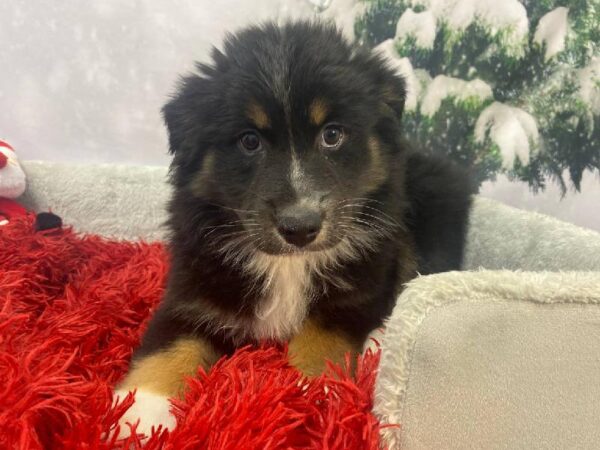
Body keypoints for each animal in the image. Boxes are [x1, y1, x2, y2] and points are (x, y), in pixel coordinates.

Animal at [113, 20, 474, 436]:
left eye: (332, 134)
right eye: (249, 141)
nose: (300, 227)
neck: (287, 264)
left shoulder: (356, 292)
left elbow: (323, 336)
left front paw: (312, 393)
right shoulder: (193, 291)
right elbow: (167, 348)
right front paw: (138, 414)